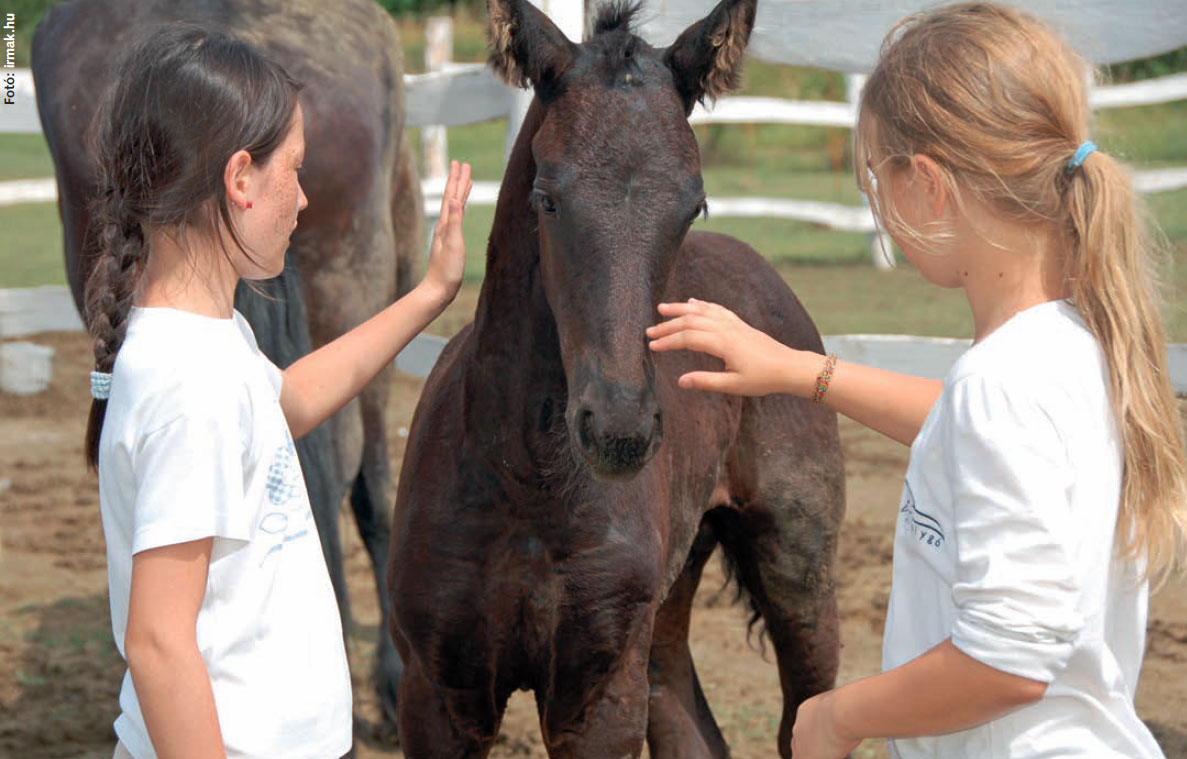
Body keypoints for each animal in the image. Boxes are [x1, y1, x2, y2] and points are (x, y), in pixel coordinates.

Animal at [389, 0, 845, 755]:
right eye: (547, 197)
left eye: (692, 204)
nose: (619, 430)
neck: (528, 483)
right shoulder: (437, 696)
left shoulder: (597, 697)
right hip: (665, 604)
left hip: (796, 565)